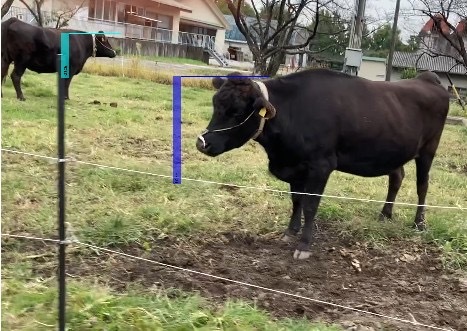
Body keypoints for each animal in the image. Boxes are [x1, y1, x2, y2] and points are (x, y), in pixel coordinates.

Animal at [196, 68, 452, 260]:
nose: (202, 143)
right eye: (215, 104)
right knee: (397, 177)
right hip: (395, 151)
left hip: (428, 150)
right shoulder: (296, 166)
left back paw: (419, 223)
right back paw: (385, 214)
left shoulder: (321, 165)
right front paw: (290, 232)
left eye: (236, 111)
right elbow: (296, 200)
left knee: (422, 185)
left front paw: (304, 245)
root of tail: (426, 79)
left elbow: (310, 205)